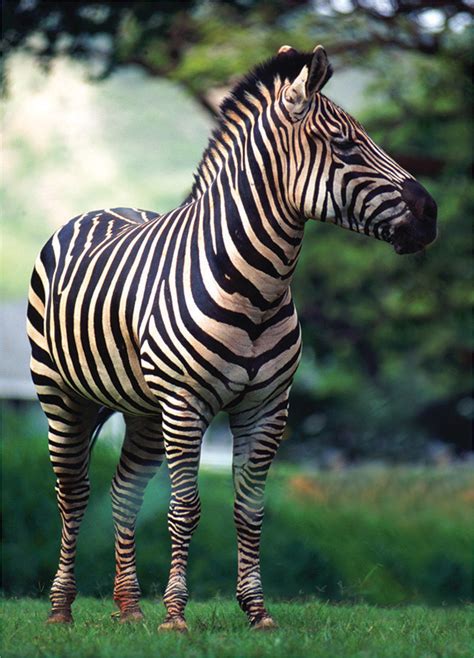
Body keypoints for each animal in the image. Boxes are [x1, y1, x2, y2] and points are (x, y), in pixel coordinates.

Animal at [27, 44, 437, 631]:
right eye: (346, 144)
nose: (432, 215)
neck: (259, 289)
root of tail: (100, 208)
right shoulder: (185, 405)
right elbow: (186, 508)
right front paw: (176, 615)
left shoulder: (266, 407)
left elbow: (250, 508)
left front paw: (256, 610)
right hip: (61, 395)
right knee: (73, 492)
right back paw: (61, 608)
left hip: (143, 410)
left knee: (124, 493)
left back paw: (129, 608)